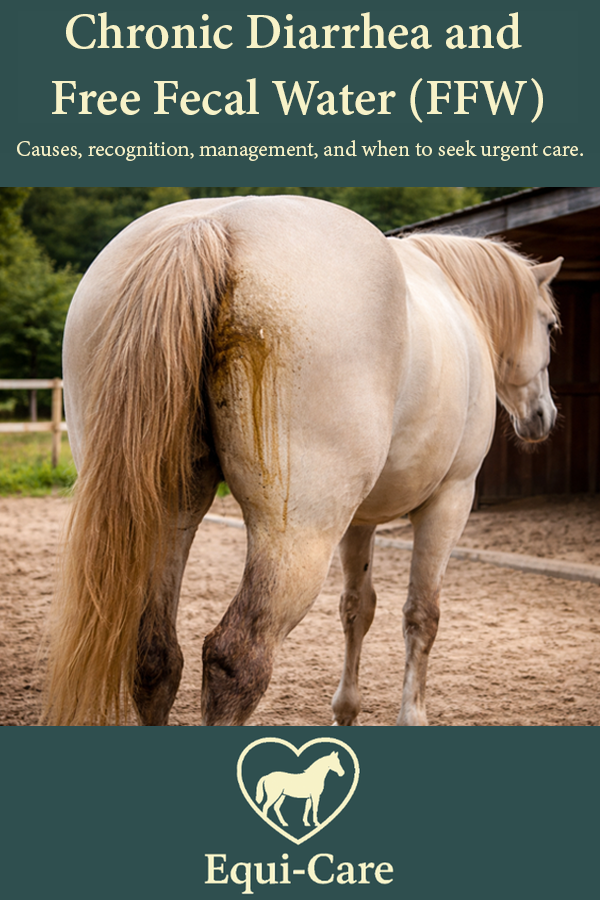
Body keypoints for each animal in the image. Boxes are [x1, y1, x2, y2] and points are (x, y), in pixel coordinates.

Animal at [43, 194, 562, 726]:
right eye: (549, 325)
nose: (542, 416)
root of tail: (210, 225)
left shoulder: (360, 520)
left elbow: (357, 607)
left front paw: (346, 709)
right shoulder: (450, 499)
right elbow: (421, 615)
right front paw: (410, 716)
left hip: (166, 515)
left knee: (155, 658)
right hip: (299, 534)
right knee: (236, 659)